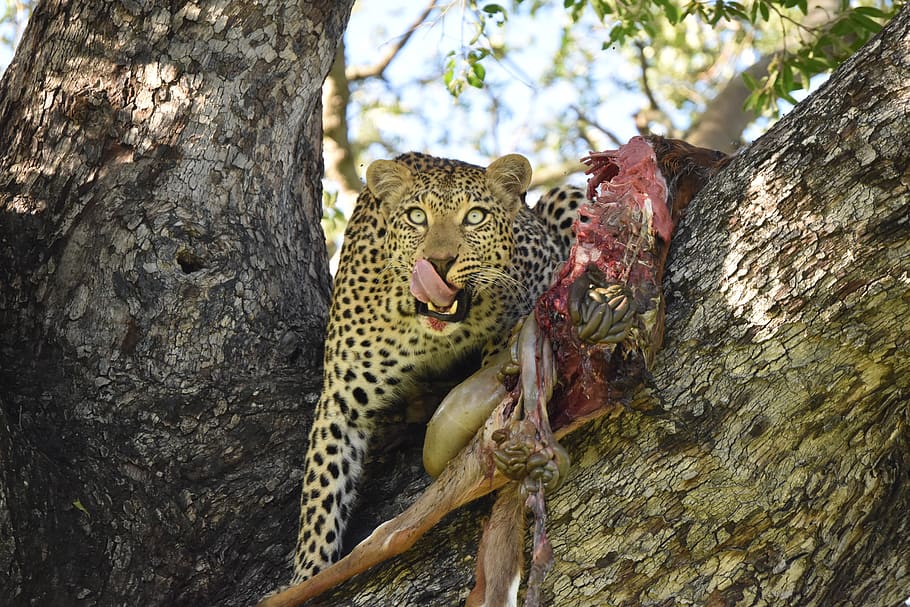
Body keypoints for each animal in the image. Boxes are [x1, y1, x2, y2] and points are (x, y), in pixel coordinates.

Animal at [296, 153, 588, 584]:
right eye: (417, 217)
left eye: (475, 217)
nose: (439, 261)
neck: (432, 333)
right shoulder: (341, 402)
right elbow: (321, 494)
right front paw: (308, 577)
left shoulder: (541, 274)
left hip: (563, 195)